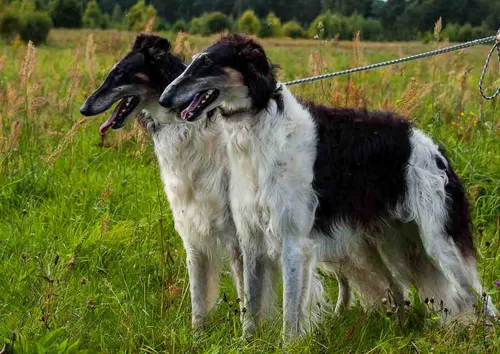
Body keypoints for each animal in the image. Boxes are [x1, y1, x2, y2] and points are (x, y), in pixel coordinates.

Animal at [79, 35, 243, 330]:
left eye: (120, 73)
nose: (83, 108)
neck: (183, 124)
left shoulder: (237, 232)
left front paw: (251, 336)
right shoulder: (191, 226)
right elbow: (198, 300)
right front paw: (197, 335)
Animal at [160, 32, 496, 330]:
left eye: (206, 63)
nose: (164, 99)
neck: (259, 123)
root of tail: (434, 148)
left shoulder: (293, 240)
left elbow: (290, 317)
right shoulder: (251, 238)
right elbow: (251, 314)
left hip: (440, 243)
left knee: (482, 299)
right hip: (395, 243)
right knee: (402, 292)